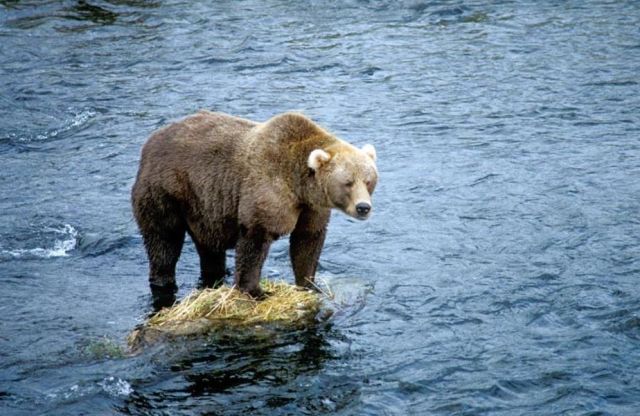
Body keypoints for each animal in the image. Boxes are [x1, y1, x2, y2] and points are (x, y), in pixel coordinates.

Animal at [131, 110, 378, 307]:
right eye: (347, 182)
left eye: (368, 180)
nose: (363, 207)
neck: (298, 185)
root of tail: (150, 142)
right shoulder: (267, 190)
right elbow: (254, 241)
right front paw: (256, 291)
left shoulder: (311, 208)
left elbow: (307, 241)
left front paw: (308, 284)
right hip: (165, 191)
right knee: (164, 240)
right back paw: (163, 281)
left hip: (202, 207)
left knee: (208, 246)